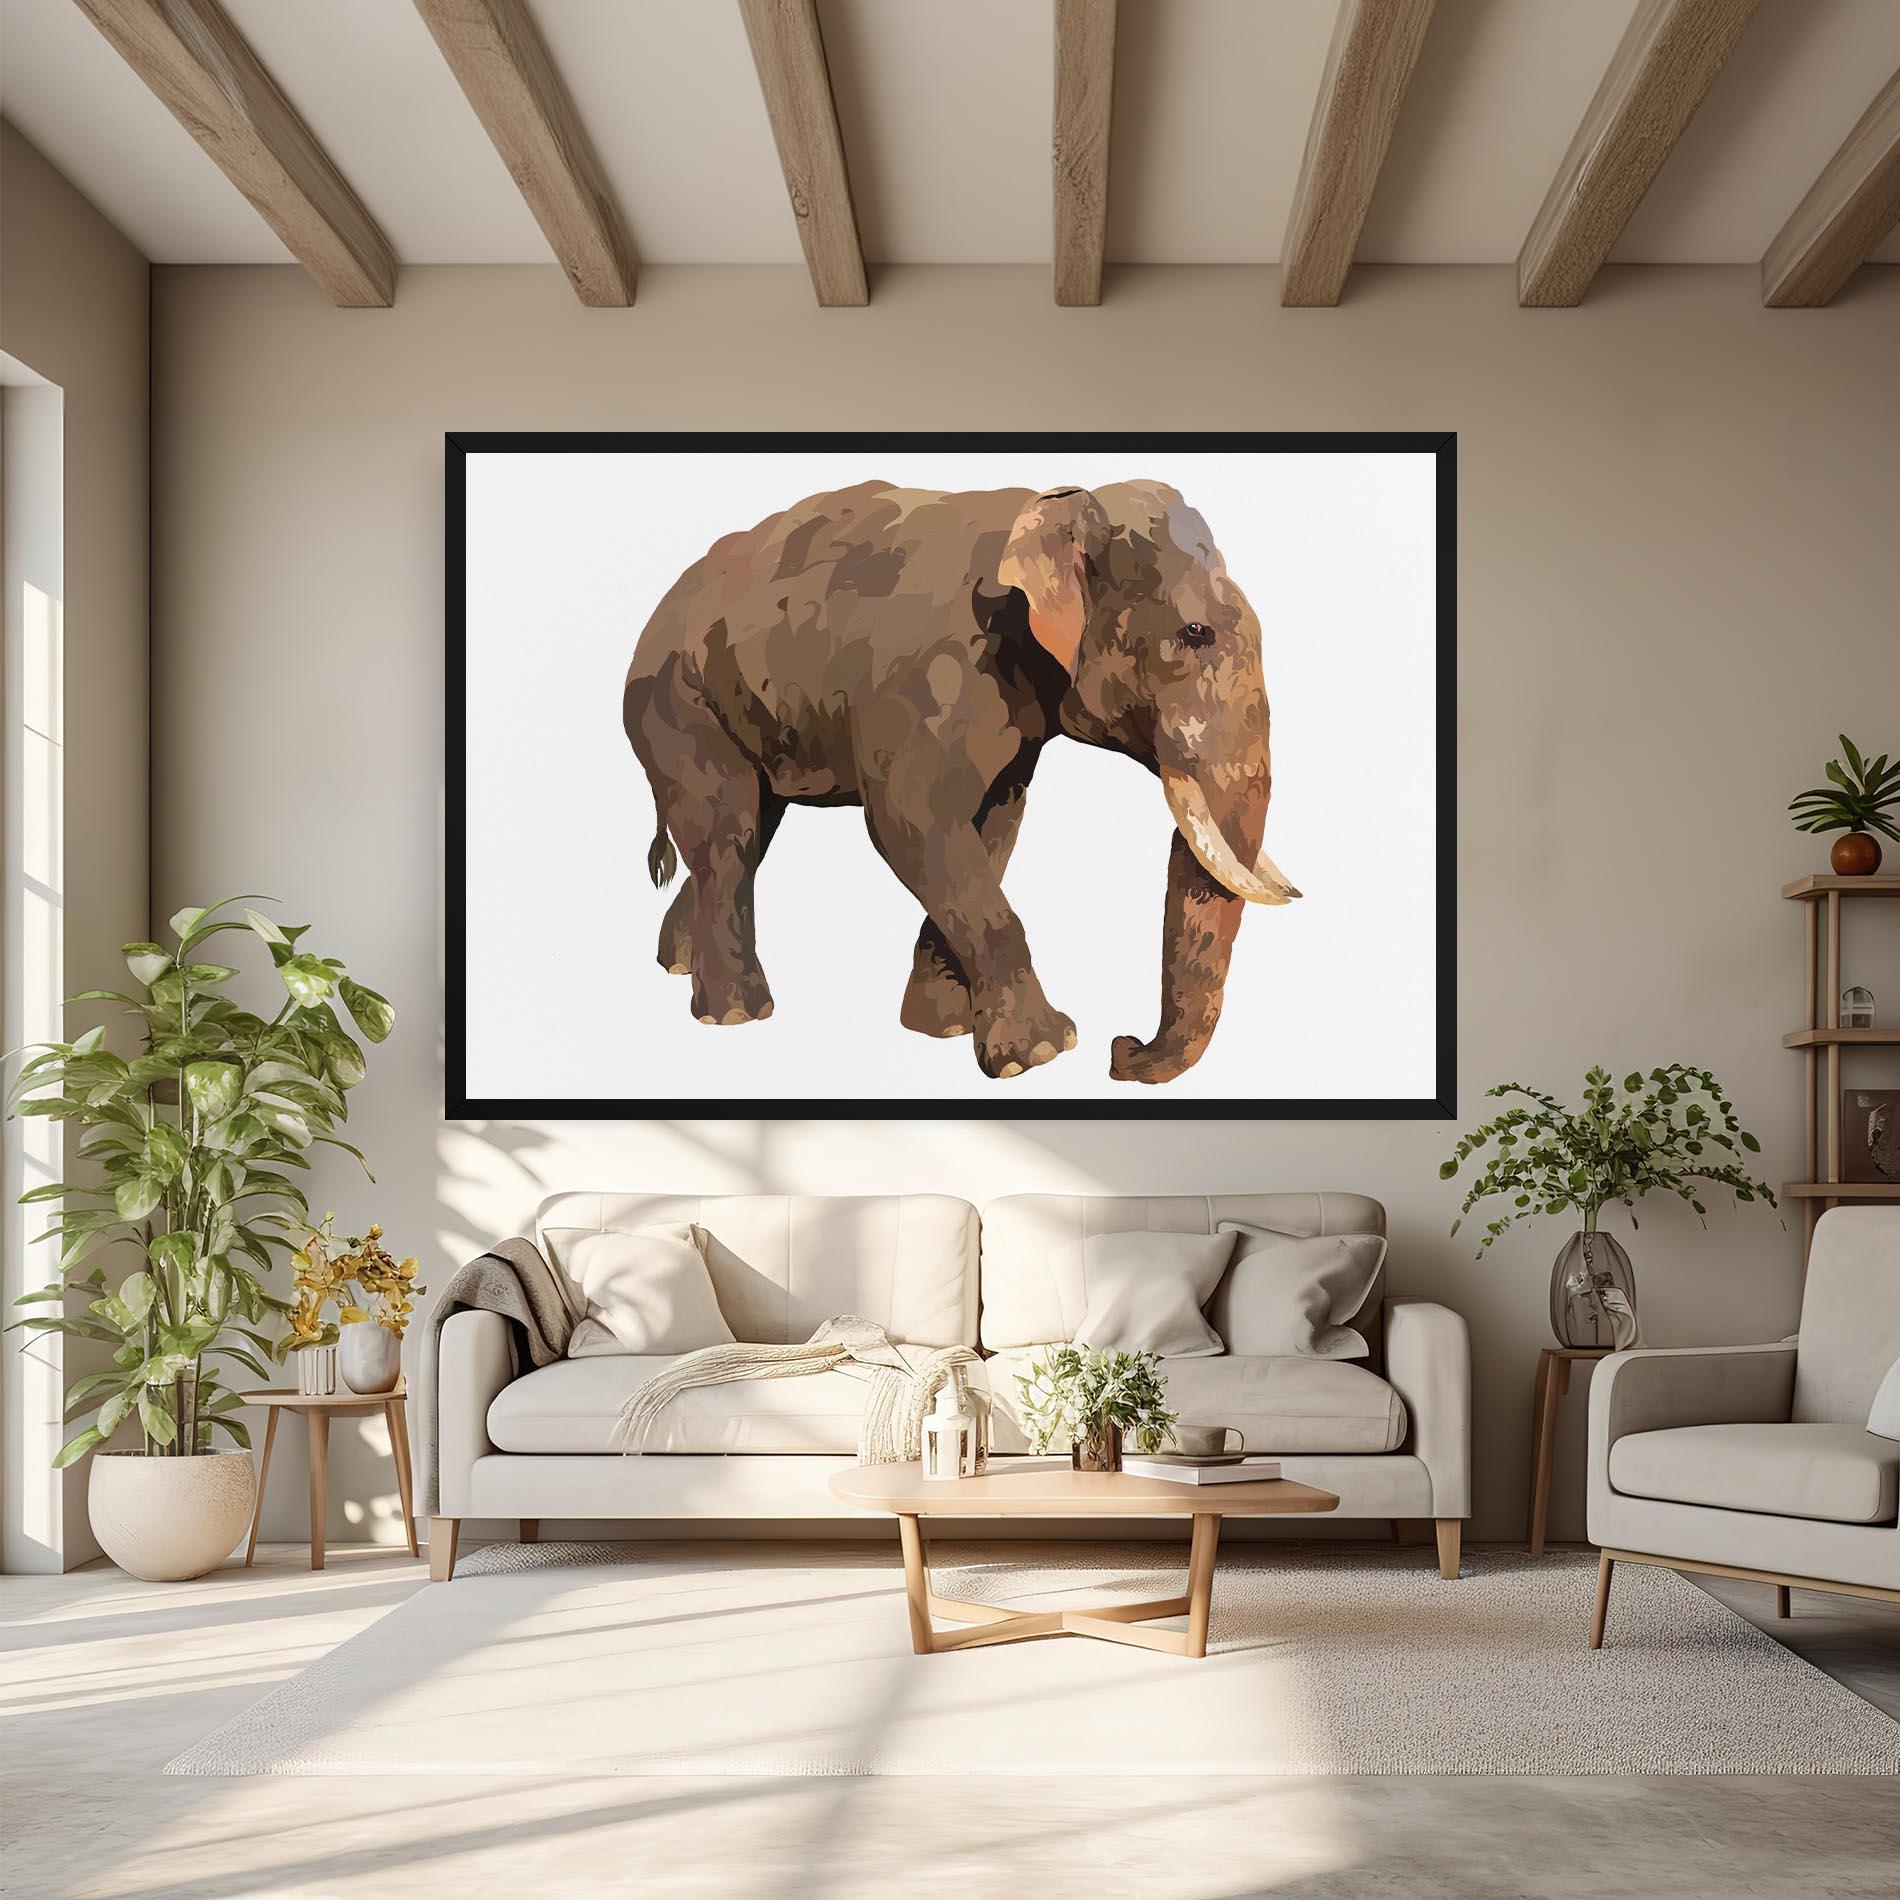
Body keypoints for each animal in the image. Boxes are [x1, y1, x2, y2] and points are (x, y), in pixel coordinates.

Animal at [622, 479, 1299, 1084]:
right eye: (1195, 634)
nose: (1121, 1050)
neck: (1048, 506)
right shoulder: (931, 683)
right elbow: (911, 824)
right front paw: (1042, 1054)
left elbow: (995, 824)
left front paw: (942, 1030)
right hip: (677, 702)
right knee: (728, 833)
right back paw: (737, 1015)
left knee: (747, 831)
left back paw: (676, 967)